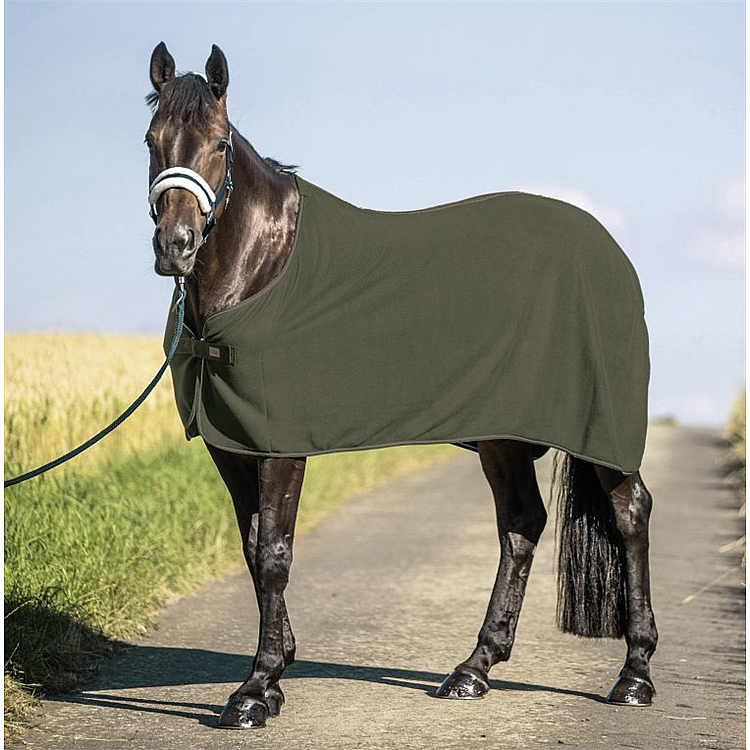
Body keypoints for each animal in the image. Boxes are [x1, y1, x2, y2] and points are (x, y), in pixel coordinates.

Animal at [145, 42, 657, 729]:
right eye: (151, 140)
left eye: (220, 144)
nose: (175, 247)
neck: (261, 268)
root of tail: (613, 253)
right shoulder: (231, 447)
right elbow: (253, 552)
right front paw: (275, 676)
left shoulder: (280, 446)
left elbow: (276, 554)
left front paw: (255, 690)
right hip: (502, 435)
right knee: (522, 523)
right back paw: (474, 669)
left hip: (598, 430)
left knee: (630, 515)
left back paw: (634, 675)